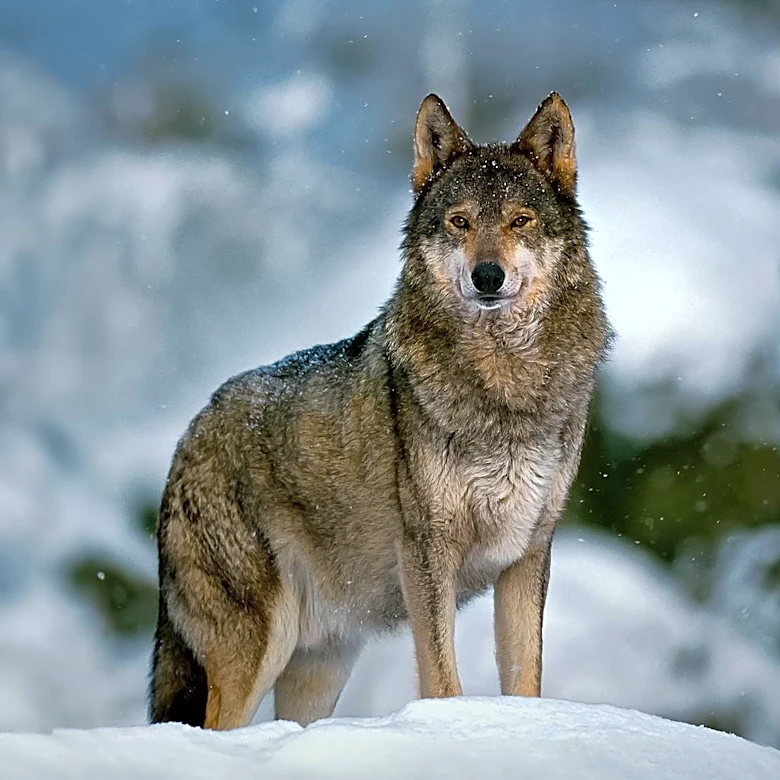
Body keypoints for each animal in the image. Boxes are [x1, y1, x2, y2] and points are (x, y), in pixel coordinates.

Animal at [149, 91, 611, 730]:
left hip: (319, 669)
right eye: (460, 222)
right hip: (257, 651)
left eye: (520, 221)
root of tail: (188, 434)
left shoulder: (527, 555)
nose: (486, 276)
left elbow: (526, 681)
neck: (503, 388)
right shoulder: (427, 555)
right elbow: (443, 681)